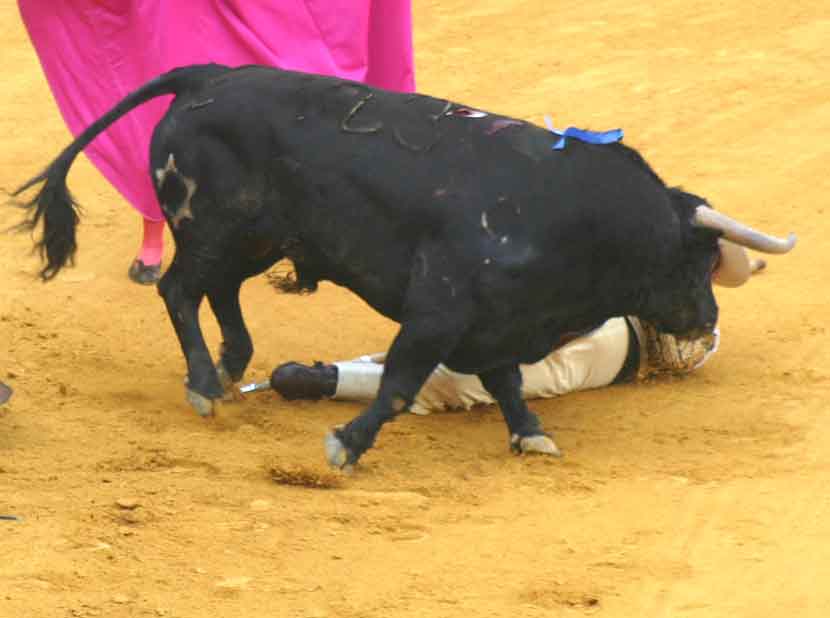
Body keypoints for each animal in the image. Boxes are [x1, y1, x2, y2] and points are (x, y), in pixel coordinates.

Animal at [13, 62, 796, 466]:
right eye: (700, 258)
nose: (706, 322)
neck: (574, 218)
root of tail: (211, 74)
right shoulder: (437, 312)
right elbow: (397, 385)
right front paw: (344, 445)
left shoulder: (496, 323)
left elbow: (507, 384)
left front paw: (532, 436)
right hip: (211, 228)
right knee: (180, 289)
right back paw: (206, 382)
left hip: (257, 238)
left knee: (222, 293)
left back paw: (230, 366)